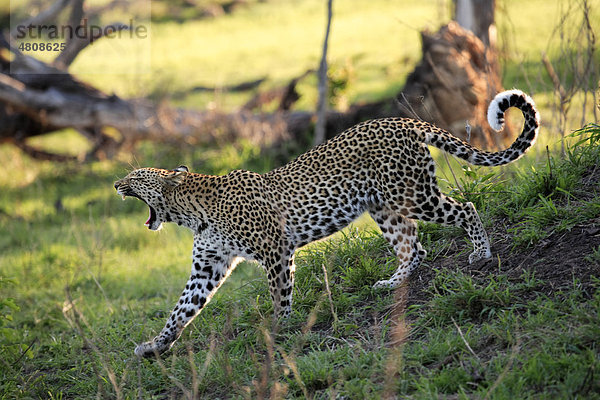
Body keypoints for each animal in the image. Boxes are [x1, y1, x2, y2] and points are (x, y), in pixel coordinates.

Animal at [115, 90, 540, 356]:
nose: (117, 184)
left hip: (414, 195)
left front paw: (280, 329)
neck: (191, 213)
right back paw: (392, 283)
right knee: (413, 246)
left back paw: (481, 252)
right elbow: (181, 309)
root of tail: (402, 121)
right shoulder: (208, 265)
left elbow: (280, 293)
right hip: (385, 207)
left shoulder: (275, 250)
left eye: (136, 177)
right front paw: (155, 346)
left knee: (464, 208)